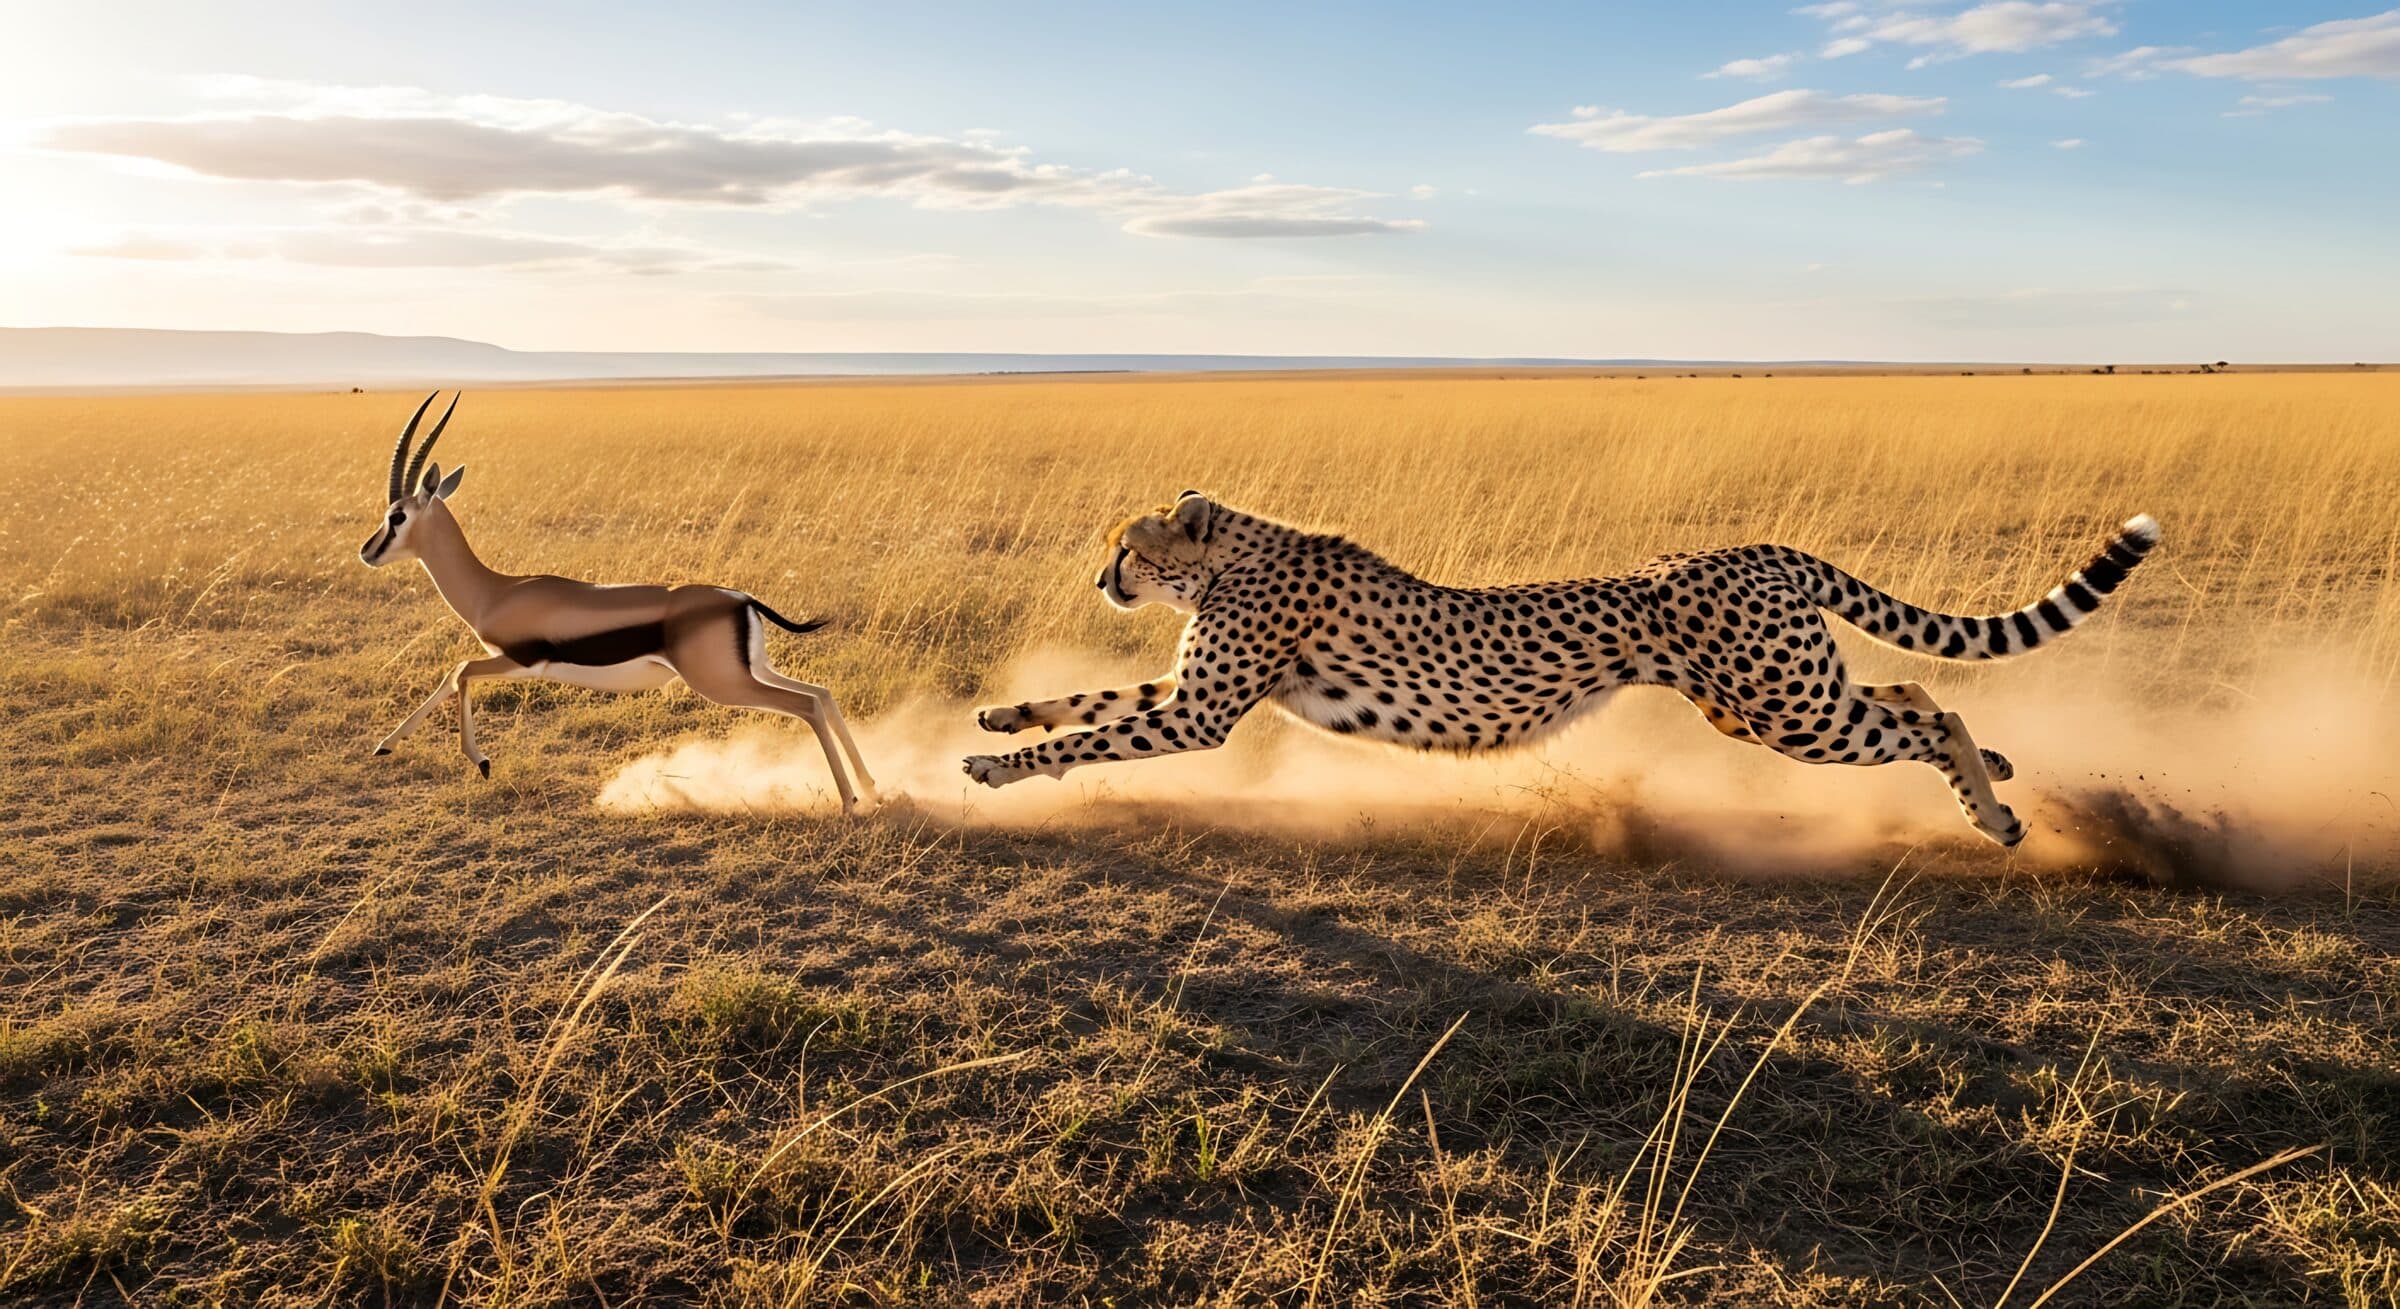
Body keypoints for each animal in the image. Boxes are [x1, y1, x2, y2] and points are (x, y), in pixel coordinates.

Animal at [358, 393, 877, 812]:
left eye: (397, 515)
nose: (367, 552)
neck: (496, 591)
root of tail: (740, 597)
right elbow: (452, 675)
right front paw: (384, 746)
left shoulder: (519, 662)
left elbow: (461, 671)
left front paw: (481, 761)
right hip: (751, 671)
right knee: (821, 693)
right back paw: (871, 788)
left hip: (724, 684)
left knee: (806, 706)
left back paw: (850, 802)